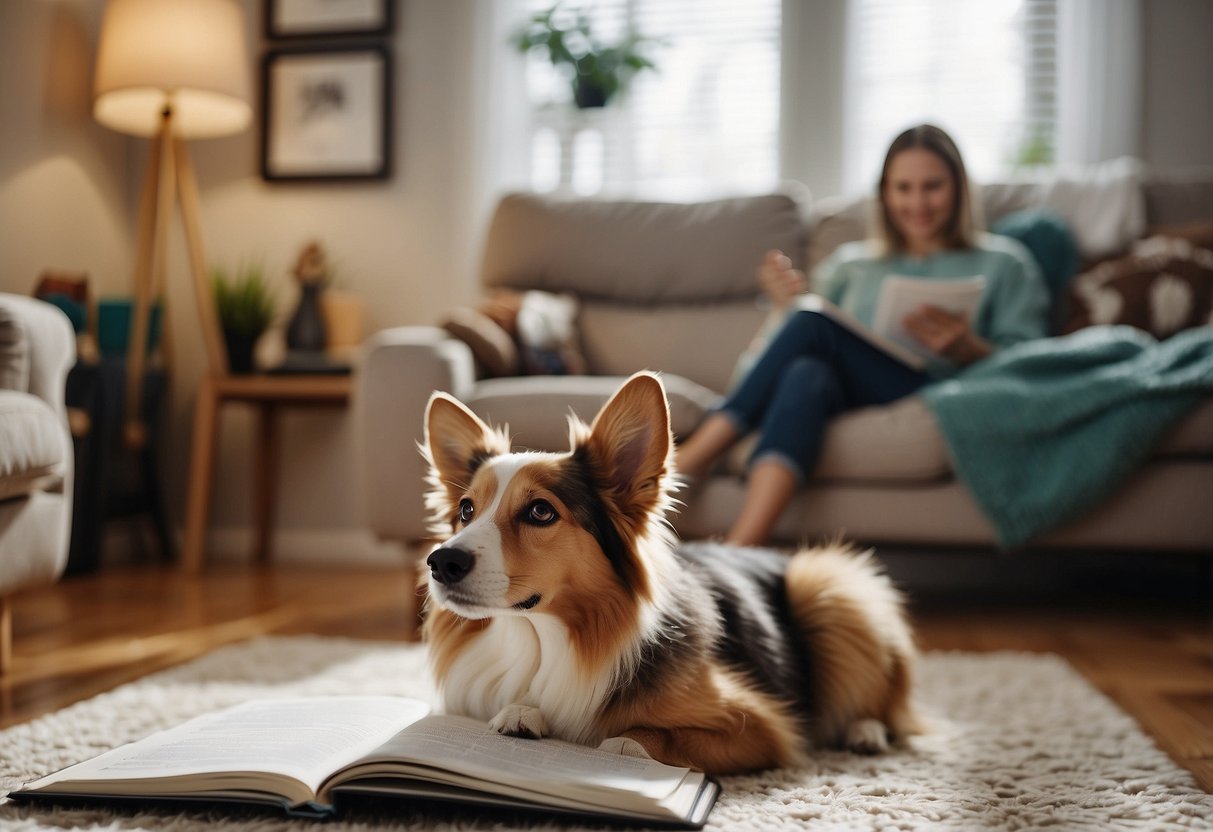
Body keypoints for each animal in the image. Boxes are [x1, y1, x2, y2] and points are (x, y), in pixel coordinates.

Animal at [422, 375, 912, 781]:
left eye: (541, 511)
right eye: (466, 509)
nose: (440, 562)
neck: (540, 636)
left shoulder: (762, 726)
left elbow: (638, 739)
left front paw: (620, 745)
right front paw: (524, 713)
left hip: (826, 584)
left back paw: (865, 733)